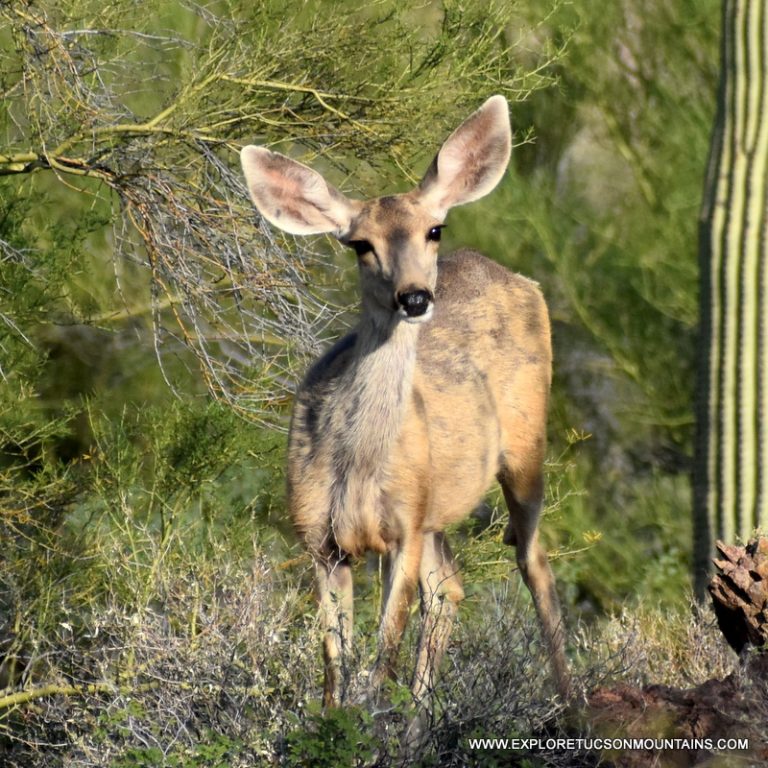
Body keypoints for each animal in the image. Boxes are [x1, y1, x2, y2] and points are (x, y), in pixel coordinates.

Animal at [240, 94, 568, 712]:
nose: (414, 298)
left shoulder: (404, 529)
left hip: (525, 447)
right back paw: (422, 719)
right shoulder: (319, 537)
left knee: (534, 563)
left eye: (434, 229)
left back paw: (573, 701)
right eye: (359, 244)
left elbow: (380, 657)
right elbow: (336, 665)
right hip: (438, 507)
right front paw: (332, 723)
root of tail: (519, 278)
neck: (358, 466)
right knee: (449, 591)